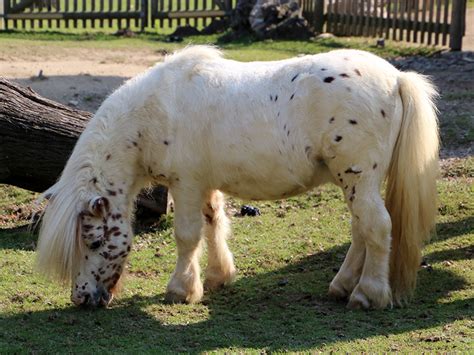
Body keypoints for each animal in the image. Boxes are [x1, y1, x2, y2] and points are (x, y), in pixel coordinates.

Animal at [35, 46, 438, 310]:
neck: (153, 113)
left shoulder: (185, 184)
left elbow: (187, 236)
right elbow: (213, 224)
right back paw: (341, 286)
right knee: (361, 231)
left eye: (95, 242)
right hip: (355, 183)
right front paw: (217, 277)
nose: (82, 298)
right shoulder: (205, 185)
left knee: (377, 228)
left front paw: (180, 290)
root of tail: (396, 78)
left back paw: (367, 294)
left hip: (358, 179)